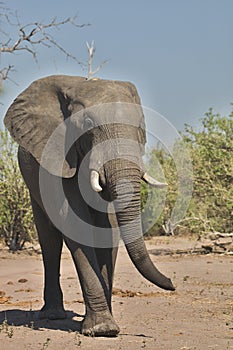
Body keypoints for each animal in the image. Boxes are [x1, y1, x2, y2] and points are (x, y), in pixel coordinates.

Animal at [3, 76, 175, 336]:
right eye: (88, 123)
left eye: (140, 125)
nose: (173, 283)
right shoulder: (60, 157)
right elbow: (75, 224)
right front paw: (103, 329)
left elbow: (108, 228)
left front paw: (106, 322)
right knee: (49, 239)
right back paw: (53, 315)